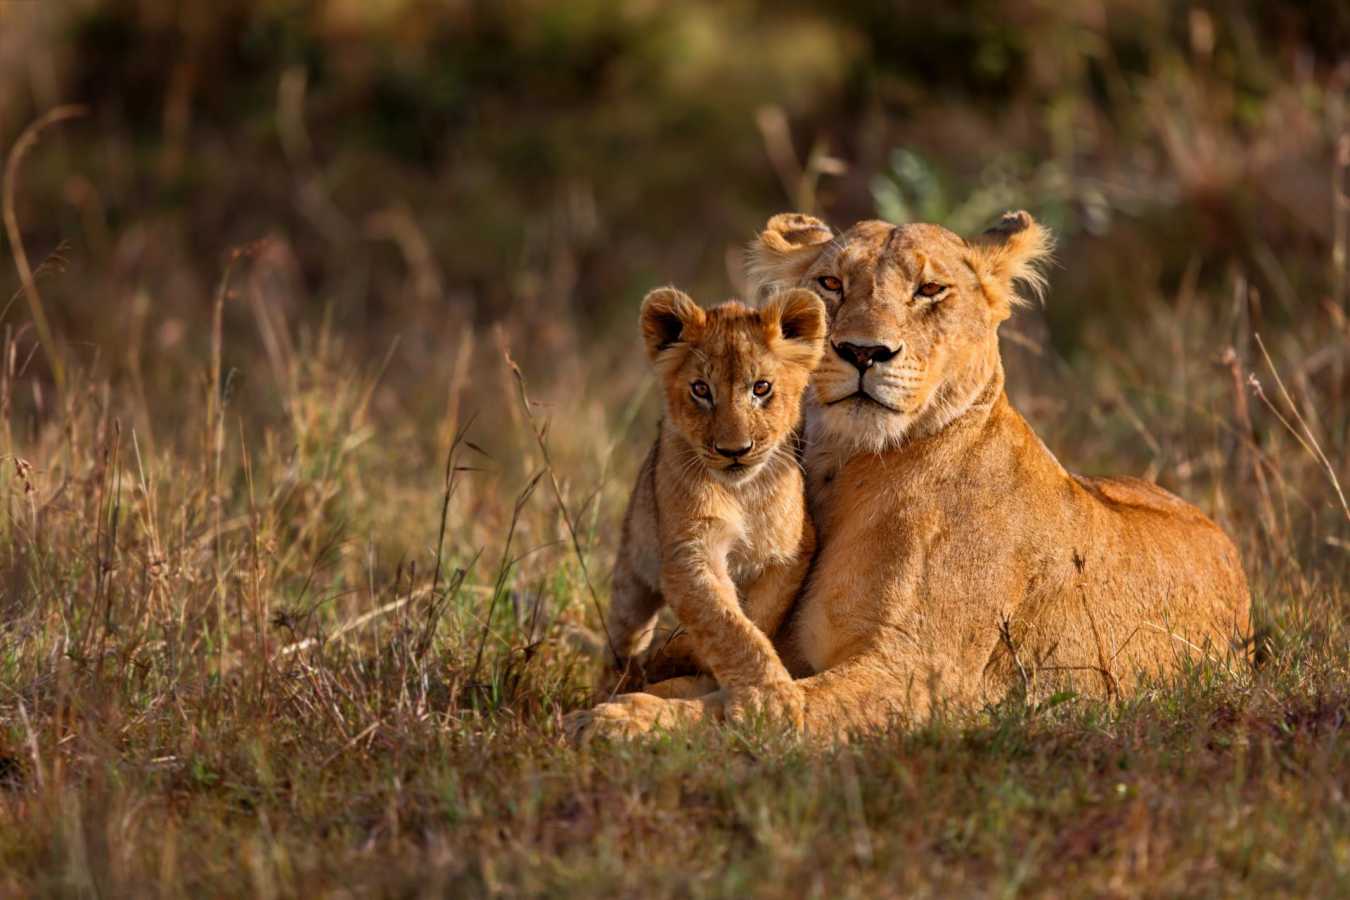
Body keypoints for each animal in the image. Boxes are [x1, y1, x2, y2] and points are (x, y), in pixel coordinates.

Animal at [597, 286, 827, 707]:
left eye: (761, 388)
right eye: (701, 390)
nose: (734, 450)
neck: (743, 492)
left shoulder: (791, 552)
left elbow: (756, 618)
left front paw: (686, 656)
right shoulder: (689, 553)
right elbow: (728, 626)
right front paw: (770, 699)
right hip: (631, 575)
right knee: (623, 639)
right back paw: (617, 684)